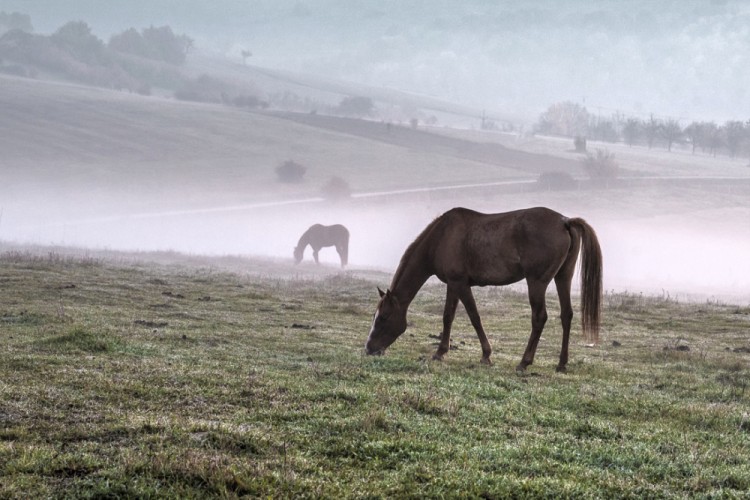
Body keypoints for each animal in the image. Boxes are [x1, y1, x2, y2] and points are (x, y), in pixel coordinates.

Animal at [366, 205, 604, 374]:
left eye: (384, 317)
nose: (369, 348)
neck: (441, 237)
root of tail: (565, 221)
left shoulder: (460, 284)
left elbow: (473, 316)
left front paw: (485, 355)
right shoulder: (453, 285)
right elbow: (448, 316)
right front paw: (441, 352)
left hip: (537, 282)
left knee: (539, 317)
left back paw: (524, 362)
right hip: (563, 277)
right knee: (566, 315)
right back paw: (561, 363)